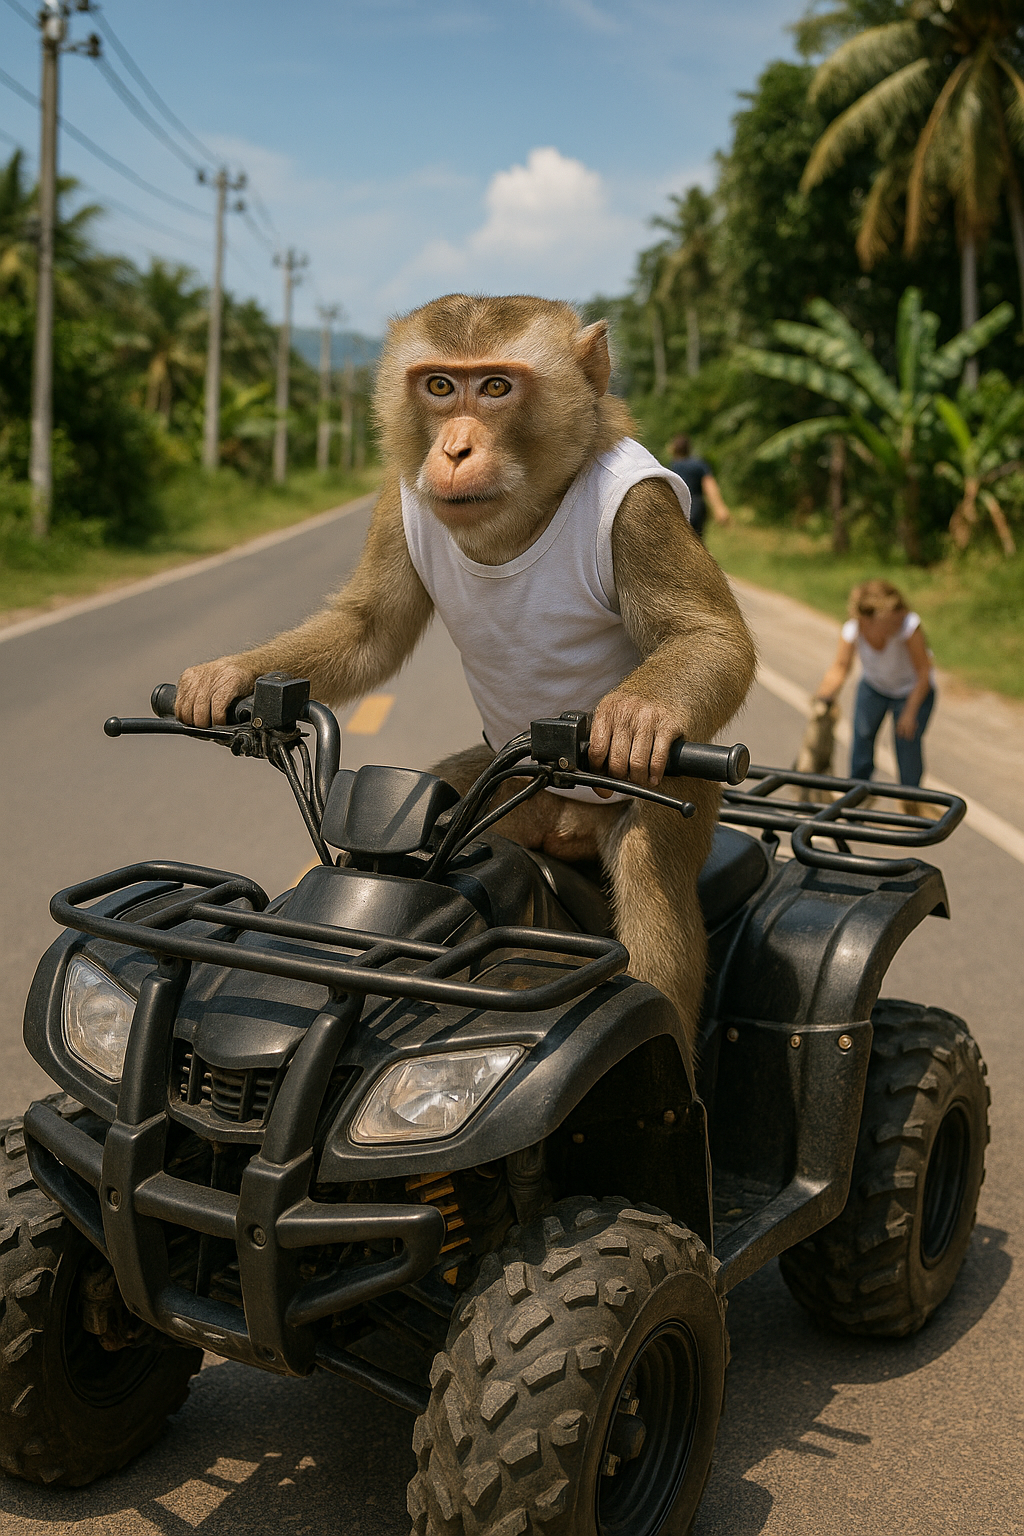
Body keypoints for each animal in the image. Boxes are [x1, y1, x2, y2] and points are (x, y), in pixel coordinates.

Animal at [176, 294, 757, 1070]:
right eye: (442, 386)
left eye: (497, 388)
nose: (453, 451)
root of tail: (562, 824)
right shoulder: (398, 498)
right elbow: (371, 627)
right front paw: (230, 678)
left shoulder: (641, 510)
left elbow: (711, 636)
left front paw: (633, 722)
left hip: (679, 795)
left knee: (649, 870)